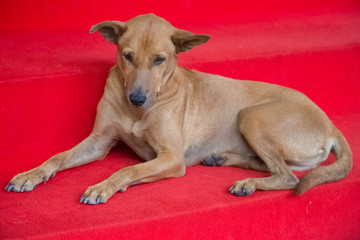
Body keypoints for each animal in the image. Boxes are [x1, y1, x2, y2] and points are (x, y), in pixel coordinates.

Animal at [7, 13, 352, 204]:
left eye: (160, 59)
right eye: (127, 56)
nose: (137, 98)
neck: (138, 112)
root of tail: (331, 125)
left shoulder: (172, 158)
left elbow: (128, 169)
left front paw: (105, 186)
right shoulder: (98, 142)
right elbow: (57, 157)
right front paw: (30, 175)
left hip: (251, 116)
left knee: (288, 177)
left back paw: (247, 184)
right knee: (276, 168)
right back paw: (222, 159)